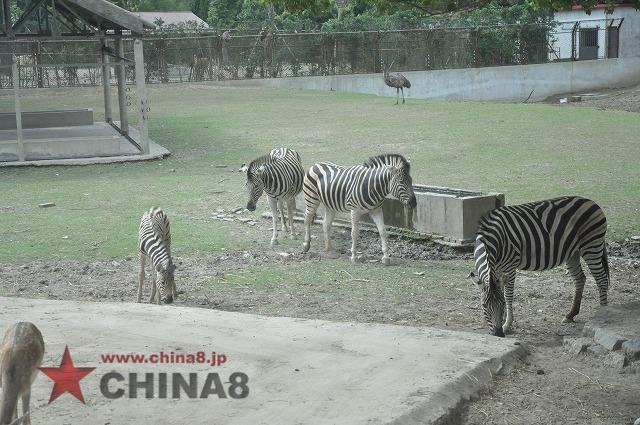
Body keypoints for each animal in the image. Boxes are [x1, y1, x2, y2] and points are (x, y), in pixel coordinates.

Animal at [470, 196, 608, 338]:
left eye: (501, 304)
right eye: (484, 306)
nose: (498, 334)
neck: (495, 239)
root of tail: (592, 202)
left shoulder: (510, 266)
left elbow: (508, 295)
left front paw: (507, 324)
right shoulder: (496, 270)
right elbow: (502, 291)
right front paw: (503, 321)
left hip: (591, 245)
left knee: (601, 279)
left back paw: (603, 315)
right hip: (573, 253)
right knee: (580, 279)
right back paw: (570, 315)